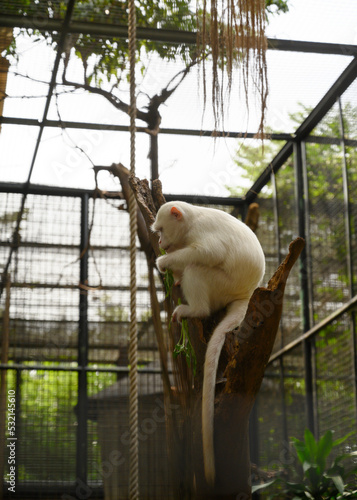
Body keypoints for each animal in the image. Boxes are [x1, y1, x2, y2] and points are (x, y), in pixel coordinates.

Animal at [150, 201, 264, 486]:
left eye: (161, 229)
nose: (160, 240)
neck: (192, 219)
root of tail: (247, 294)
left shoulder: (200, 231)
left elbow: (208, 253)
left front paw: (165, 260)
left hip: (221, 286)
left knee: (198, 267)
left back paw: (196, 309)